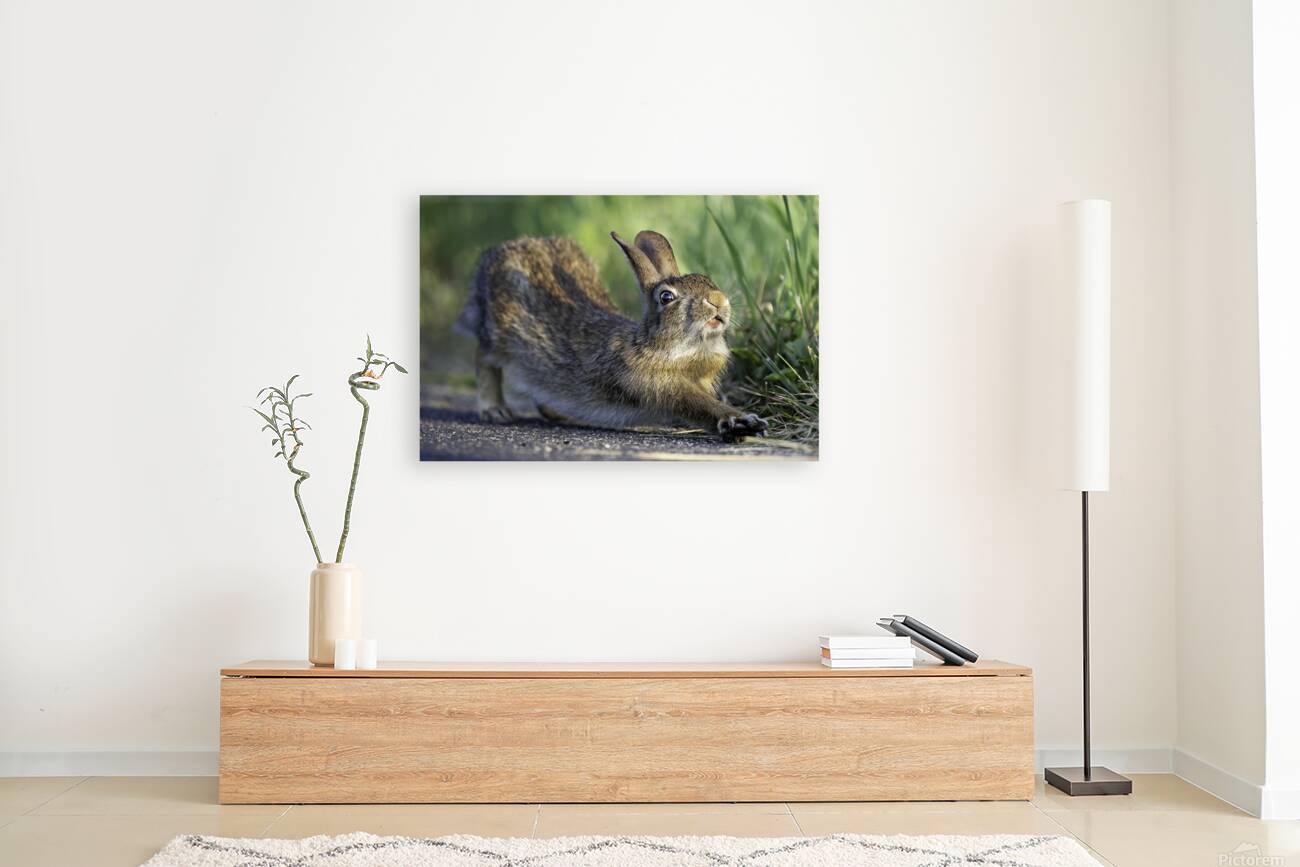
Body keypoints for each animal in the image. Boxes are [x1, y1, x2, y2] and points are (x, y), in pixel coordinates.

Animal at [455, 229, 767, 442]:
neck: (668, 348)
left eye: (707, 280)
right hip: (499, 334)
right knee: (483, 357)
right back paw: (495, 410)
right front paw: (740, 421)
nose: (718, 301)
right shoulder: (657, 384)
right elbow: (700, 405)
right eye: (666, 297)